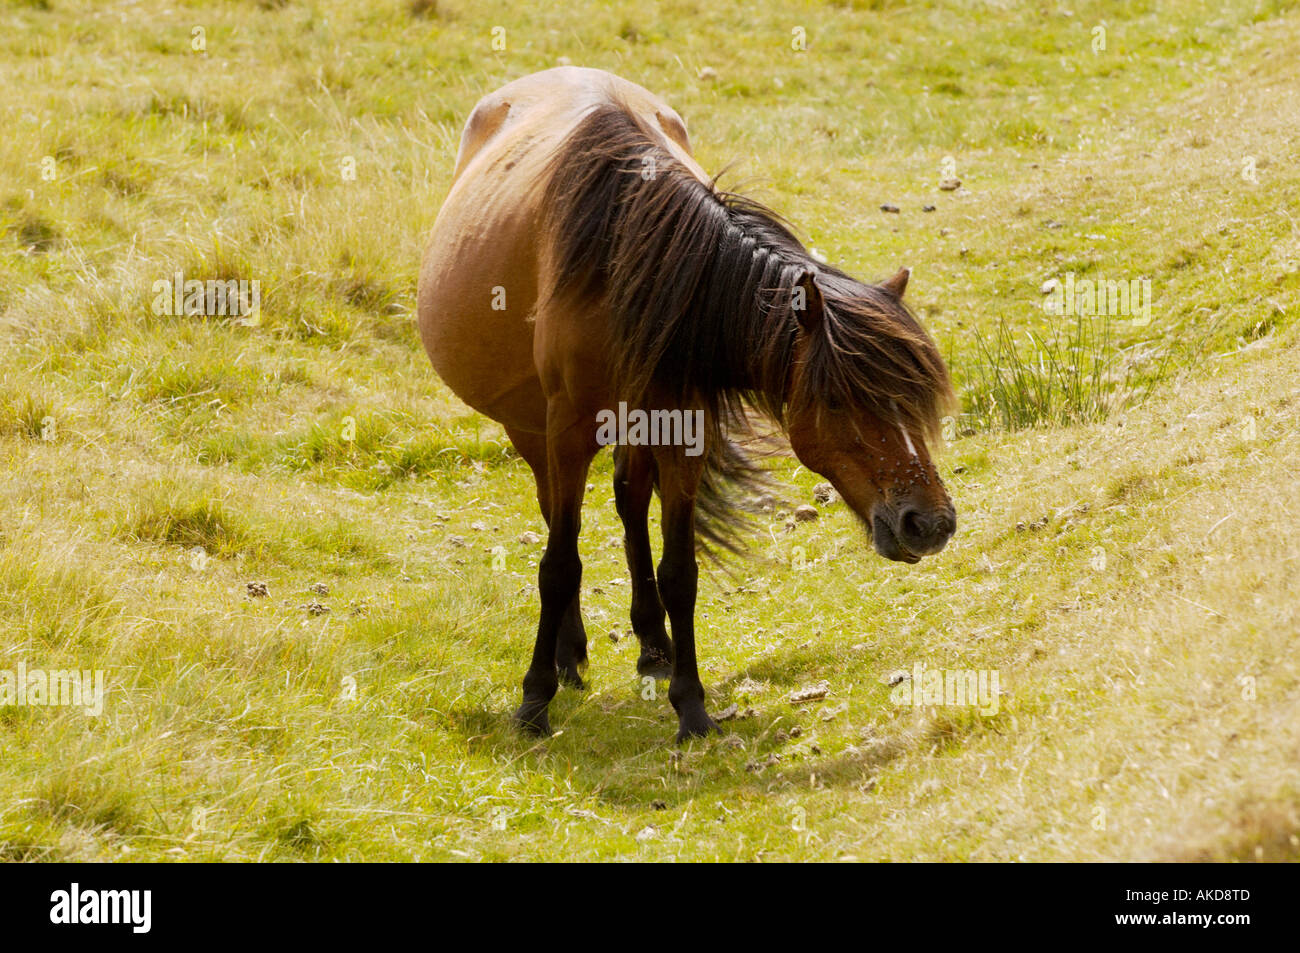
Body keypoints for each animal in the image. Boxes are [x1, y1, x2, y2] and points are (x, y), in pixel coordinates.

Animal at [417, 67, 956, 744]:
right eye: (838, 401)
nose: (930, 524)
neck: (631, 268)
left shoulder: (682, 427)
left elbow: (680, 570)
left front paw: (691, 705)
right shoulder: (567, 430)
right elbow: (558, 564)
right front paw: (535, 699)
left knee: (628, 501)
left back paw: (652, 646)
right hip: (532, 428)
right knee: (557, 518)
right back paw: (569, 653)